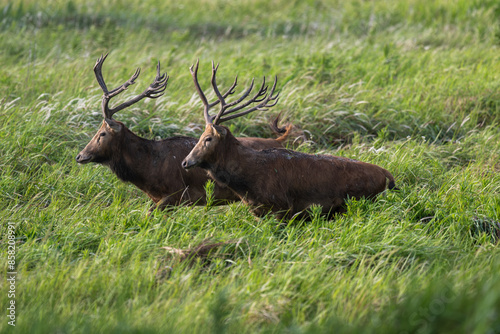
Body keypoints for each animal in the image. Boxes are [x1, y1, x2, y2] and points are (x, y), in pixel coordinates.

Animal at [182, 62, 396, 222]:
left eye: (208, 138)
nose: (185, 161)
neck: (246, 182)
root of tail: (388, 175)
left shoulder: (282, 208)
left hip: (361, 202)